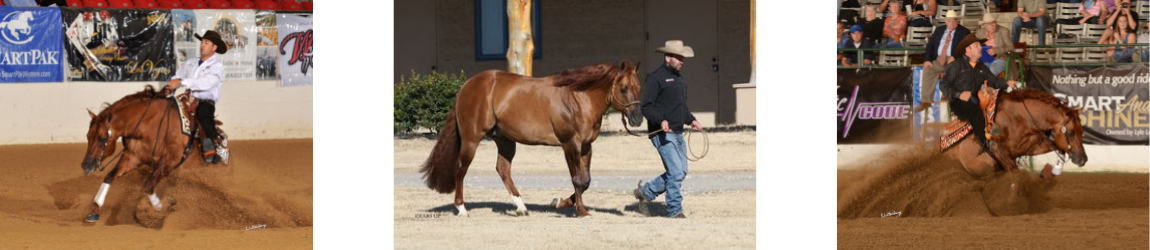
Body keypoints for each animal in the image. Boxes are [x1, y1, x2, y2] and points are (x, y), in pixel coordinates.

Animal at [81, 85, 224, 222]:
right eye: (87, 136)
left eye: (101, 139)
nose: (86, 166)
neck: (148, 125)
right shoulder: (133, 157)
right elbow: (110, 176)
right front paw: (94, 210)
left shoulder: (170, 161)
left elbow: (148, 185)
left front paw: (160, 207)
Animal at [420, 61, 648, 216]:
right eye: (623, 88)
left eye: (639, 87)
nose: (637, 119)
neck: (578, 98)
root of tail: (466, 86)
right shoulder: (570, 145)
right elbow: (578, 179)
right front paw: (579, 210)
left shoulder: (586, 147)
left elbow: (586, 181)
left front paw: (561, 202)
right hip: (471, 140)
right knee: (461, 170)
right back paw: (462, 208)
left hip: (505, 141)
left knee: (503, 169)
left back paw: (521, 207)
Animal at [943, 88, 1085, 176]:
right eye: (1071, 132)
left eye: (1082, 131)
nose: (1083, 159)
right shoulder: (1003, 156)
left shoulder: (1034, 147)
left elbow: (1060, 148)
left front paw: (1055, 170)